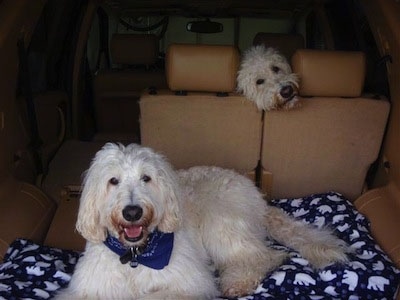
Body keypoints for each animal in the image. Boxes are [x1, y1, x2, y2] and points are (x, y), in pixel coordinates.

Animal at [55, 144, 346, 300]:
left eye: (146, 178)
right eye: (113, 181)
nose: (133, 212)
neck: (137, 256)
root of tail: (257, 195)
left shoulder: (190, 285)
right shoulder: (86, 289)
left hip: (219, 222)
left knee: (264, 256)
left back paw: (237, 281)